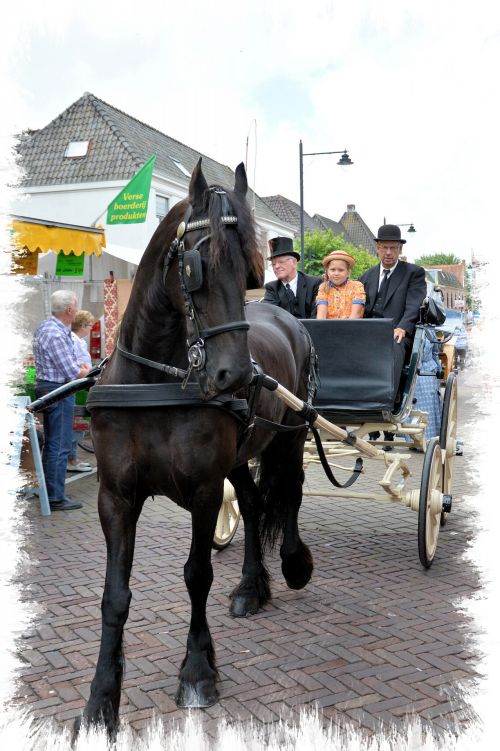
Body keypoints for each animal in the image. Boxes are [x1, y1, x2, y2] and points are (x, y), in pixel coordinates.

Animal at [77, 160, 312, 740]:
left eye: (251, 271)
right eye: (195, 266)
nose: (236, 376)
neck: (155, 379)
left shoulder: (205, 490)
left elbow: (197, 575)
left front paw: (199, 671)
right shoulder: (115, 497)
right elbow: (115, 595)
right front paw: (101, 699)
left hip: (291, 434)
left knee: (290, 494)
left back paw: (293, 563)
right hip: (241, 454)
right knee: (252, 502)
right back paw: (251, 587)